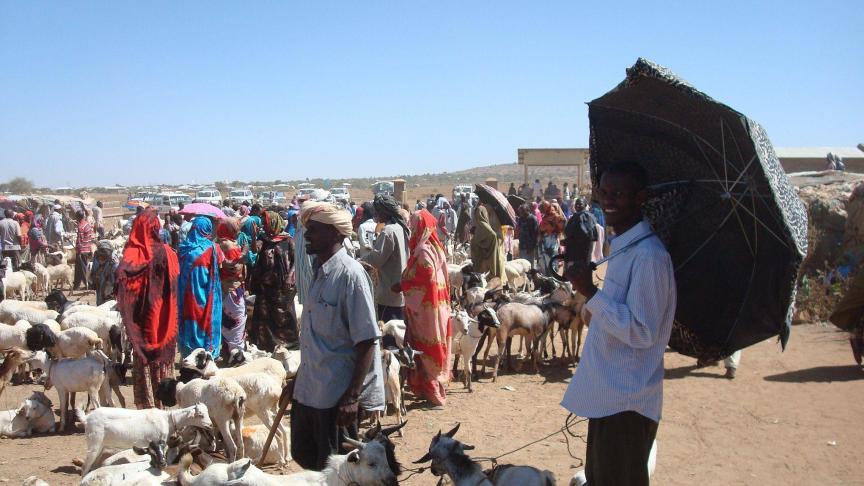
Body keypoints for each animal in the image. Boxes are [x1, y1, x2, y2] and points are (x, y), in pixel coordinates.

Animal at [79, 402, 213, 474]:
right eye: (201, 415)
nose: (211, 425)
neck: (168, 419)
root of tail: (87, 417)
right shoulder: (159, 441)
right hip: (94, 442)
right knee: (85, 467)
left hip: (101, 445)